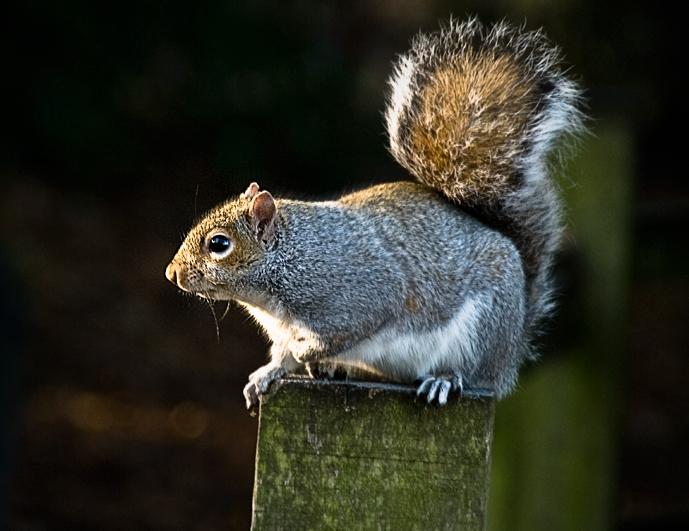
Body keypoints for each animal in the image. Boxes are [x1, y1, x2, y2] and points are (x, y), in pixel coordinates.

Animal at [165, 16, 580, 408]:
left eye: (219, 244)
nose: (172, 273)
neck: (289, 260)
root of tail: (511, 350)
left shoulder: (358, 296)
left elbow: (342, 330)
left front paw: (307, 352)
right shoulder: (282, 328)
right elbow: (282, 356)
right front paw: (268, 373)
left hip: (483, 329)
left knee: (471, 370)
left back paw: (444, 379)